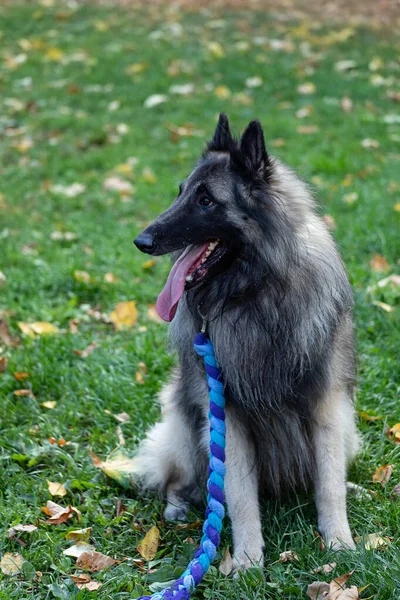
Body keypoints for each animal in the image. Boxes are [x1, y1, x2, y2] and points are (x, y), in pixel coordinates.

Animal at [132, 112, 360, 568]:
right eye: (181, 193)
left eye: (206, 200)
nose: (141, 241)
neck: (254, 292)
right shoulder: (227, 418)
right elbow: (237, 496)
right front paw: (248, 561)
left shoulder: (326, 406)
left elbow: (328, 484)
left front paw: (339, 542)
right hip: (187, 425)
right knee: (178, 478)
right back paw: (178, 505)